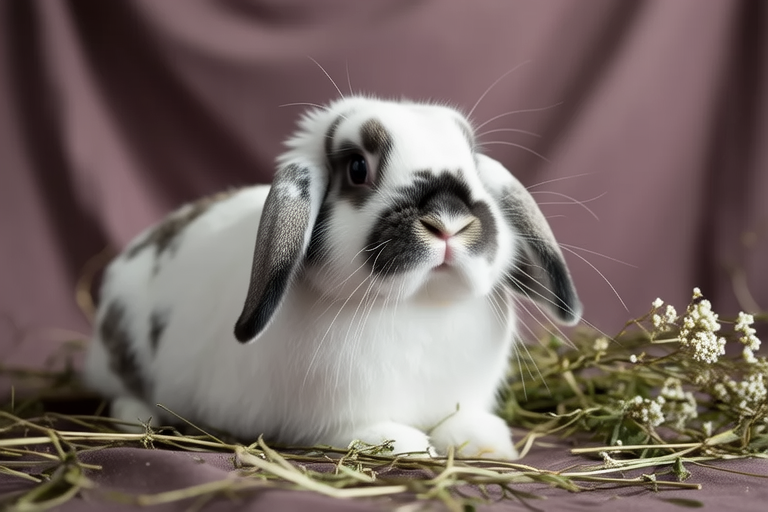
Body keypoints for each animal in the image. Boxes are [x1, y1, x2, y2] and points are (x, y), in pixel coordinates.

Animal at [83, 96, 582, 460]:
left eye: (473, 163)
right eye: (358, 168)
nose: (449, 220)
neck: (417, 304)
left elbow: (459, 421)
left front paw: (484, 442)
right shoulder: (330, 418)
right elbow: (362, 432)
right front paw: (404, 444)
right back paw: (138, 418)